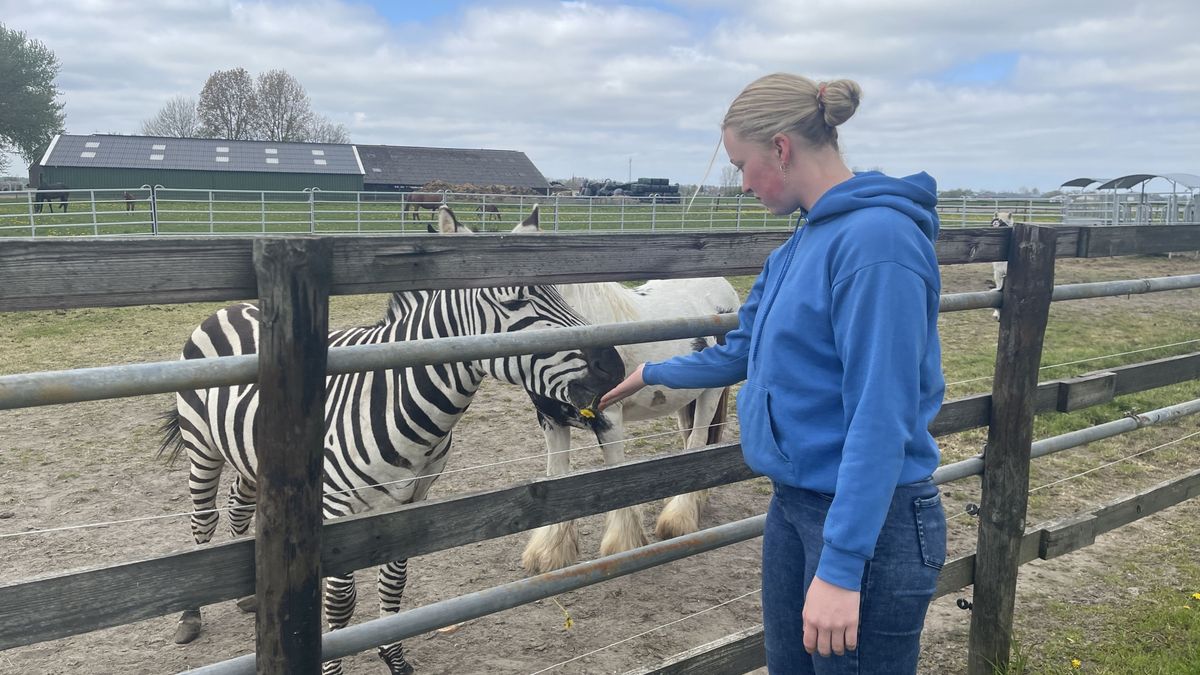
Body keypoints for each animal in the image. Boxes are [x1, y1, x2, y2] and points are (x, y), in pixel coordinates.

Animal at [159, 206, 625, 675]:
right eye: (513, 302)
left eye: (560, 294)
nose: (616, 365)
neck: (403, 394)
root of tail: (230, 306)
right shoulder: (335, 510)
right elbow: (340, 601)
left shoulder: (413, 500)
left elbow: (395, 581)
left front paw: (394, 658)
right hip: (202, 447)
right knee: (203, 520)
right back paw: (189, 617)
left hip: (250, 450)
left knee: (239, 505)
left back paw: (247, 596)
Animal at [510, 204, 741, 573]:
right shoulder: (552, 422)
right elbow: (558, 477)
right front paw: (550, 553)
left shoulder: (609, 420)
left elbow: (615, 476)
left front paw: (623, 545)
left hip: (710, 393)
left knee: (697, 441)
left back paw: (678, 518)